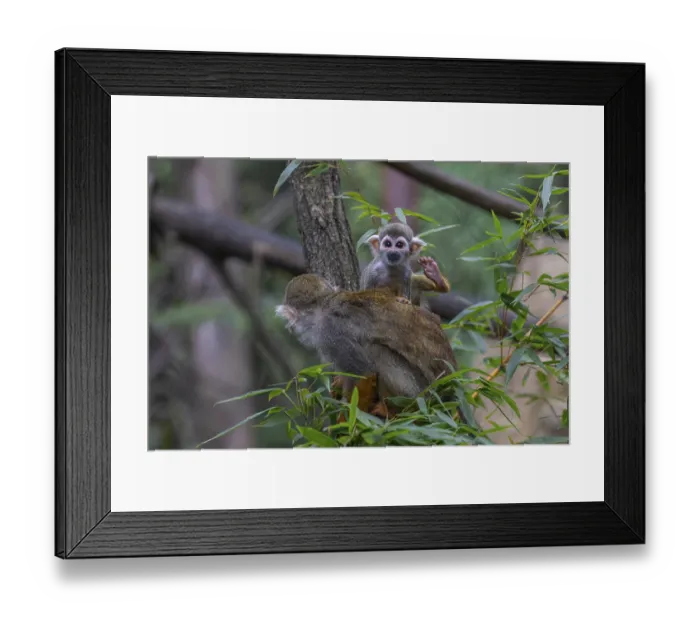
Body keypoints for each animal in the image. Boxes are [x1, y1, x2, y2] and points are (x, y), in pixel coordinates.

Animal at [275, 273, 458, 419]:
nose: (291, 327)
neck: (325, 305)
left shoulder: (331, 332)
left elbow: (363, 373)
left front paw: (347, 421)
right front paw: (339, 384)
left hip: (423, 393)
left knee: (378, 352)